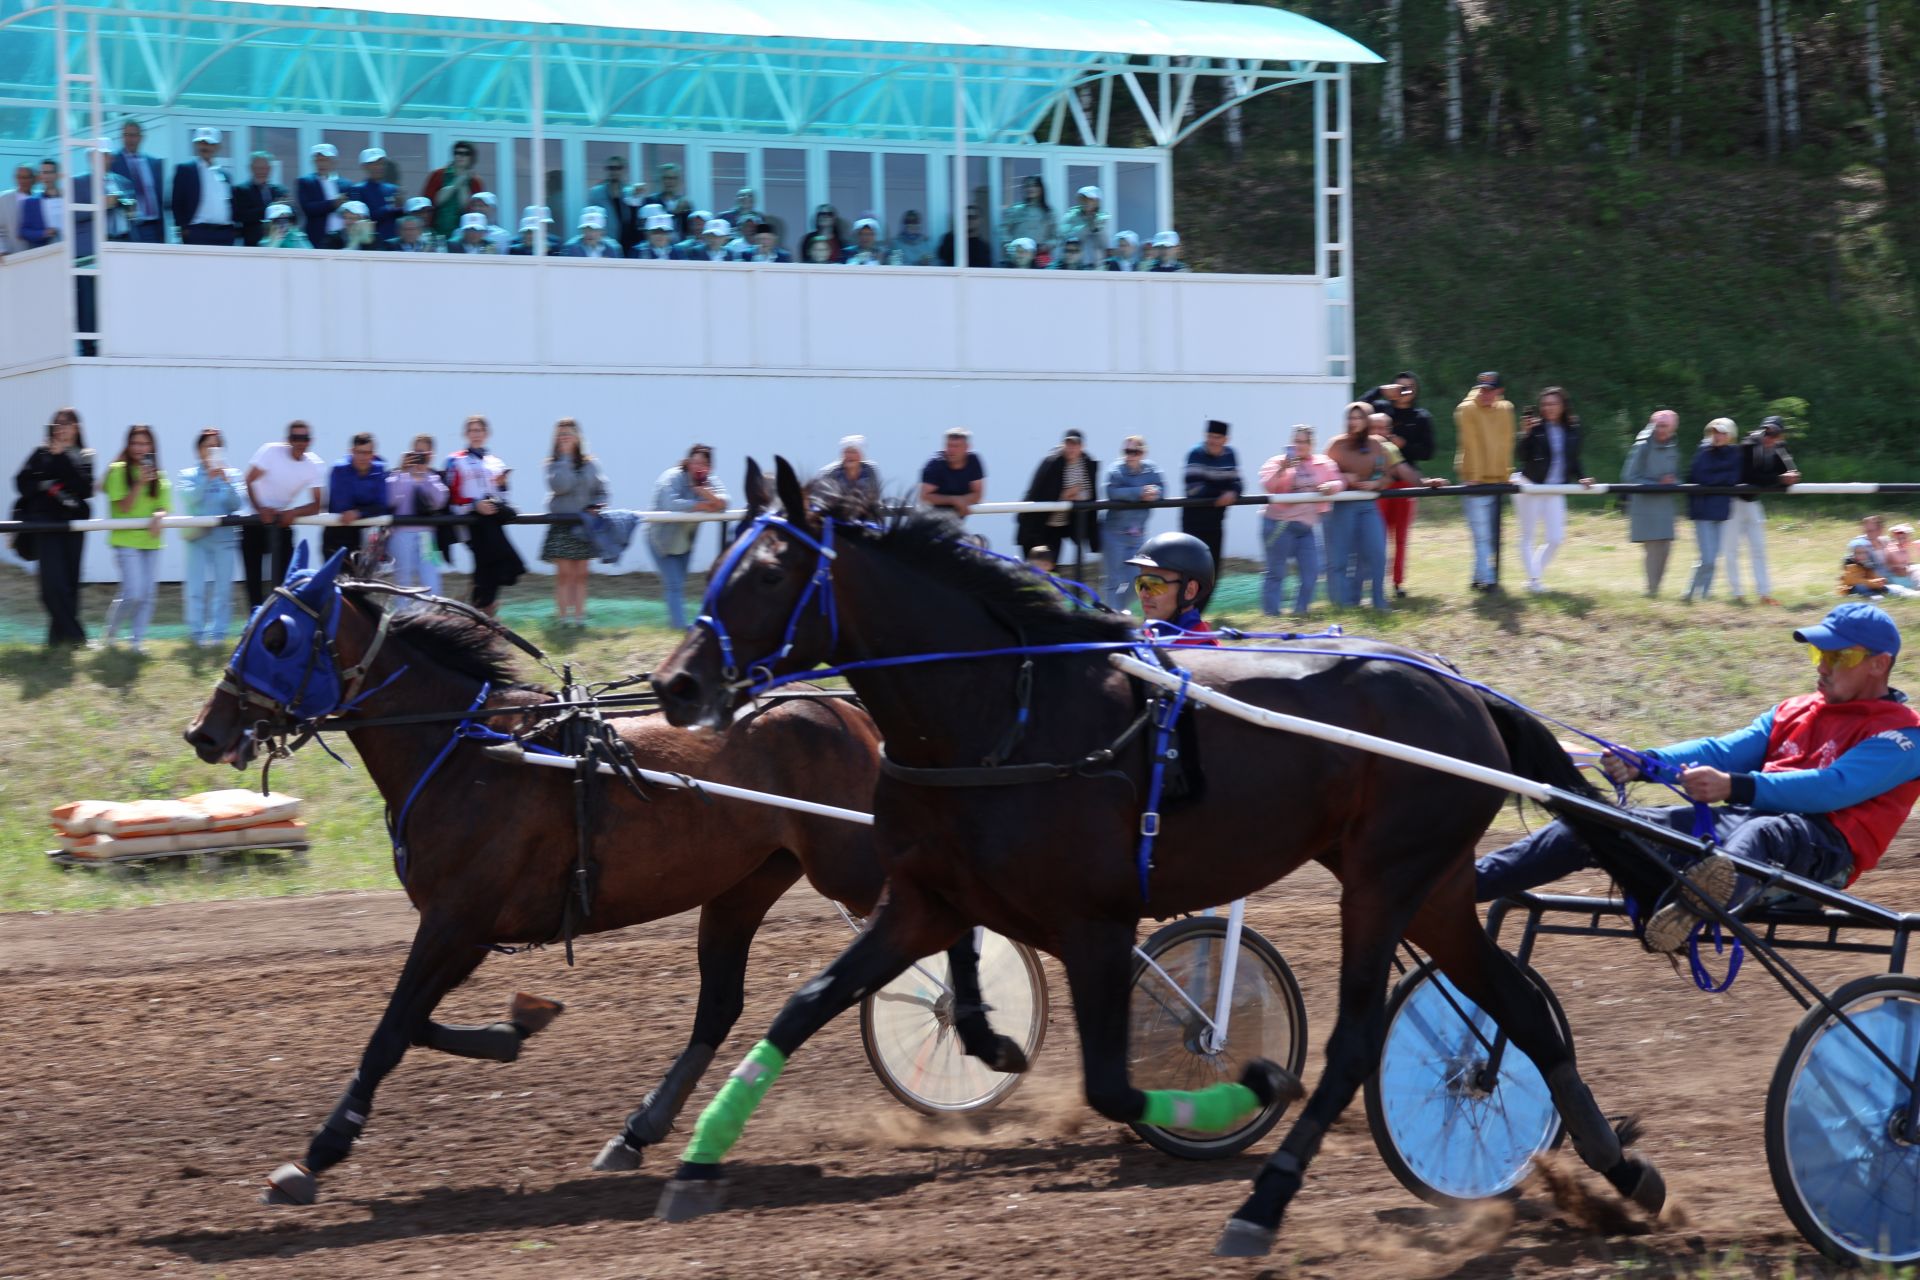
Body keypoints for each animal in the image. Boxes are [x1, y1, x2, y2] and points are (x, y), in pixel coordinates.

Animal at [181, 552, 1029, 1212]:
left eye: (278, 634)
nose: (204, 731)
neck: (470, 750)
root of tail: (853, 716)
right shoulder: (466, 929)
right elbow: (416, 1022)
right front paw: (514, 1027)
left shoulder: (457, 922)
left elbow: (391, 1031)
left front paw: (315, 1155)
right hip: (744, 884)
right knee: (721, 1005)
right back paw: (637, 1132)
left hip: (852, 863)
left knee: (949, 926)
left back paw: (983, 1035)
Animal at [645, 460, 1666, 1251]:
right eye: (720, 562)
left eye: (768, 573)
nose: (675, 684)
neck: (1006, 714)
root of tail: (1462, 689)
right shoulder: (924, 900)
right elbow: (808, 1002)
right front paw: (689, 1155)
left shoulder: (1095, 926)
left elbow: (1112, 1083)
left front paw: (1246, 1084)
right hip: (1438, 885)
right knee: (1521, 1010)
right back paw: (1623, 1168)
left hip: (1386, 880)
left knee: (1354, 1044)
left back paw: (1265, 1203)